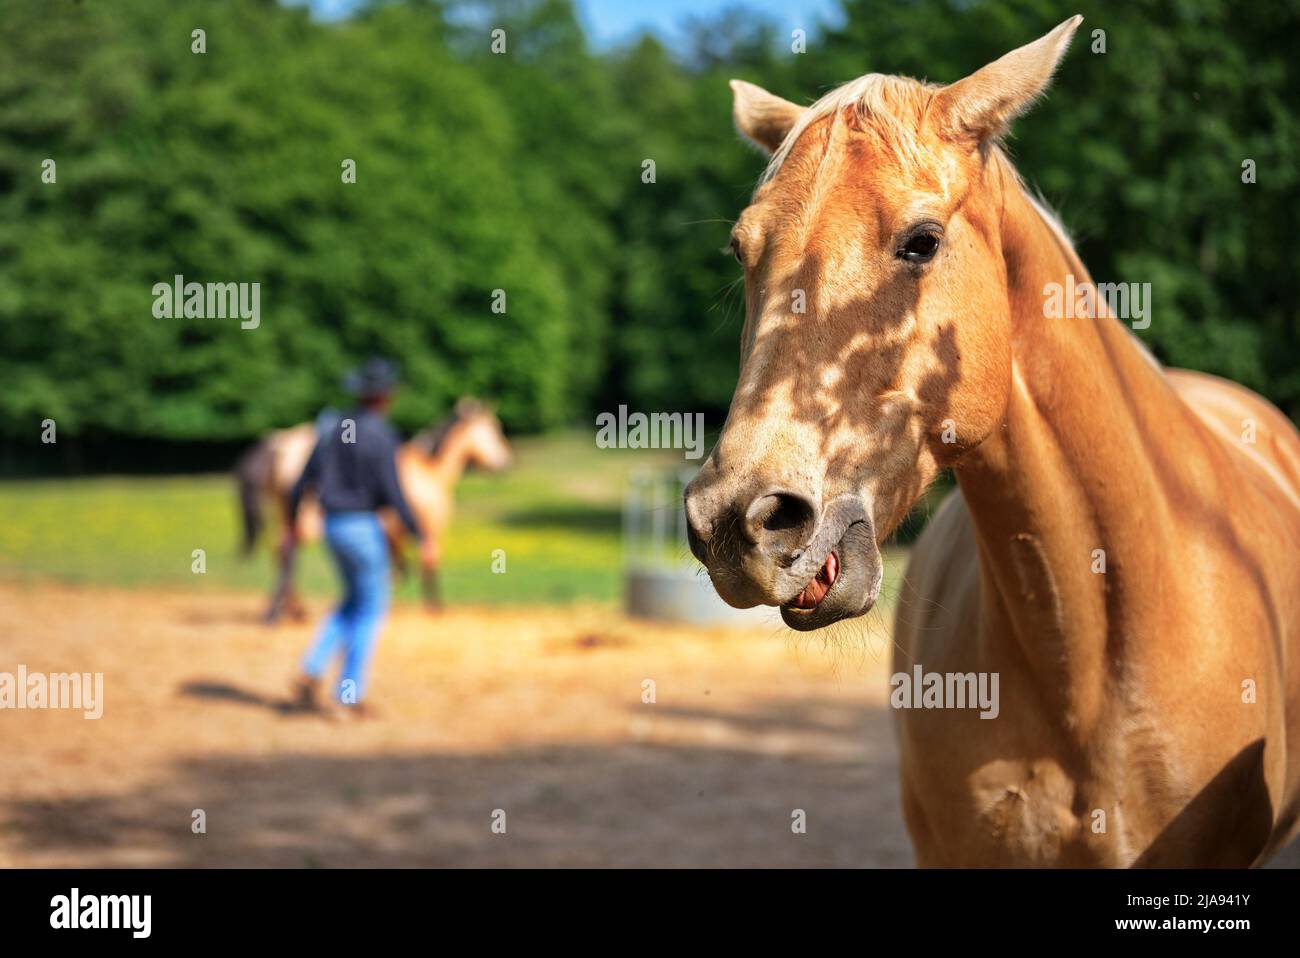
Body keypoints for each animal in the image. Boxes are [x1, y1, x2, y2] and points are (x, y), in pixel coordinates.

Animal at [236, 398, 512, 622]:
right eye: (495, 429)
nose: (505, 461)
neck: (431, 471)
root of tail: (281, 444)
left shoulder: (393, 534)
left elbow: (399, 569)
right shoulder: (430, 526)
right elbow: (426, 564)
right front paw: (434, 607)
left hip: (285, 515)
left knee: (281, 551)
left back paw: (290, 609)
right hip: (304, 521)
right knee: (286, 552)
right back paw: (286, 609)